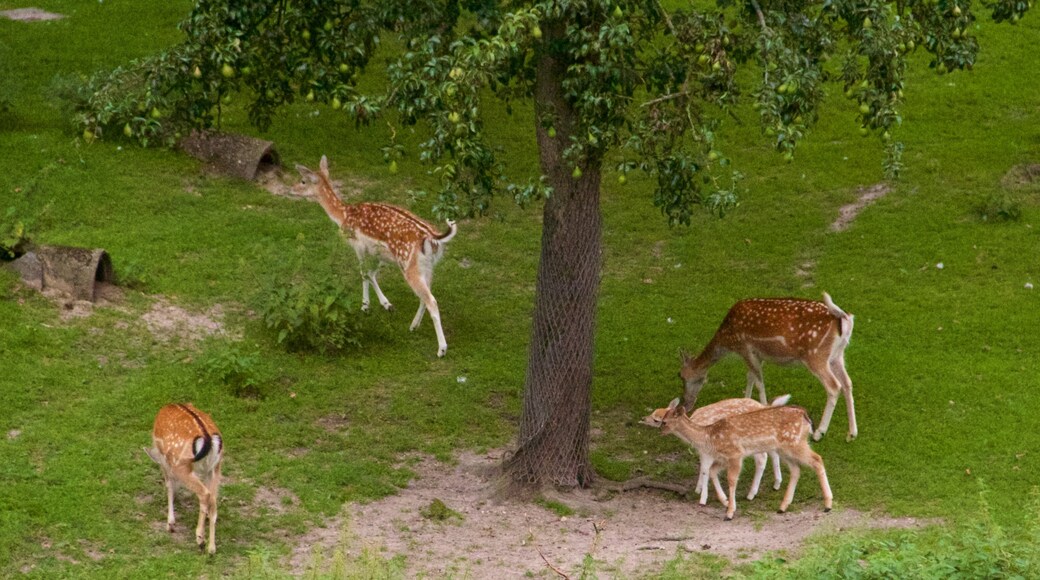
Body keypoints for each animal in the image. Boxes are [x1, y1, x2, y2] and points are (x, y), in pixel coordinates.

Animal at [144, 403, 223, 557]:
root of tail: (209, 440)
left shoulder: (167, 463)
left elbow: (169, 484)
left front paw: (170, 524)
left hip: (181, 464)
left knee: (205, 494)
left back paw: (200, 539)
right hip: (215, 467)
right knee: (213, 500)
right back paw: (211, 548)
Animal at [293, 154, 455, 357]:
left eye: (303, 180)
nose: (291, 189)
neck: (342, 216)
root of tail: (433, 237)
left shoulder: (358, 245)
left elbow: (363, 273)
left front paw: (365, 306)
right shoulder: (379, 253)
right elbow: (371, 273)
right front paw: (386, 304)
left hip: (408, 263)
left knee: (431, 300)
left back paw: (441, 349)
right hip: (428, 265)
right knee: (426, 296)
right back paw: (413, 325)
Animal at [640, 392, 786, 507]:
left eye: (657, 420)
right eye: (653, 412)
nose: (643, 418)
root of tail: (764, 407)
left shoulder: (708, 450)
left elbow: (705, 469)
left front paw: (702, 497)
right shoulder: (703, 450)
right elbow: (703, 468)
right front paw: (698, 489)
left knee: (762, 458)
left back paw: (751, 494)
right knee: (772, 452)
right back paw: (776, 484)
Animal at [653, 399, 832, 523]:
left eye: (664, 421)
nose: (660, 431)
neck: (709, 437)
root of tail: (805, 416)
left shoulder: (735, 454)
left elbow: (731, 480)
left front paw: (729, 513)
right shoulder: (722, 458)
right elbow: (712, 472)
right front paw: (725, 501)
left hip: (795, 443)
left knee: (817, 459)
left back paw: (828, 505)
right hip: (786, 448)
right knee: (796, 469)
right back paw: (782, 507)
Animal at [678, 293, 856, 442]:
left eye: (680, 375)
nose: (685, 403)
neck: (727, 340)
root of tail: (844, 318)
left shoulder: (745, 347)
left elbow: (758, 381)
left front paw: (762, 409)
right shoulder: (758, 354)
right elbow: (751, 376)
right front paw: (745, 403)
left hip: (816, 355)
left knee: (834, 386)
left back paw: (820, 432)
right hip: (837, 355)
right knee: (847, 382)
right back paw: (852, 433)